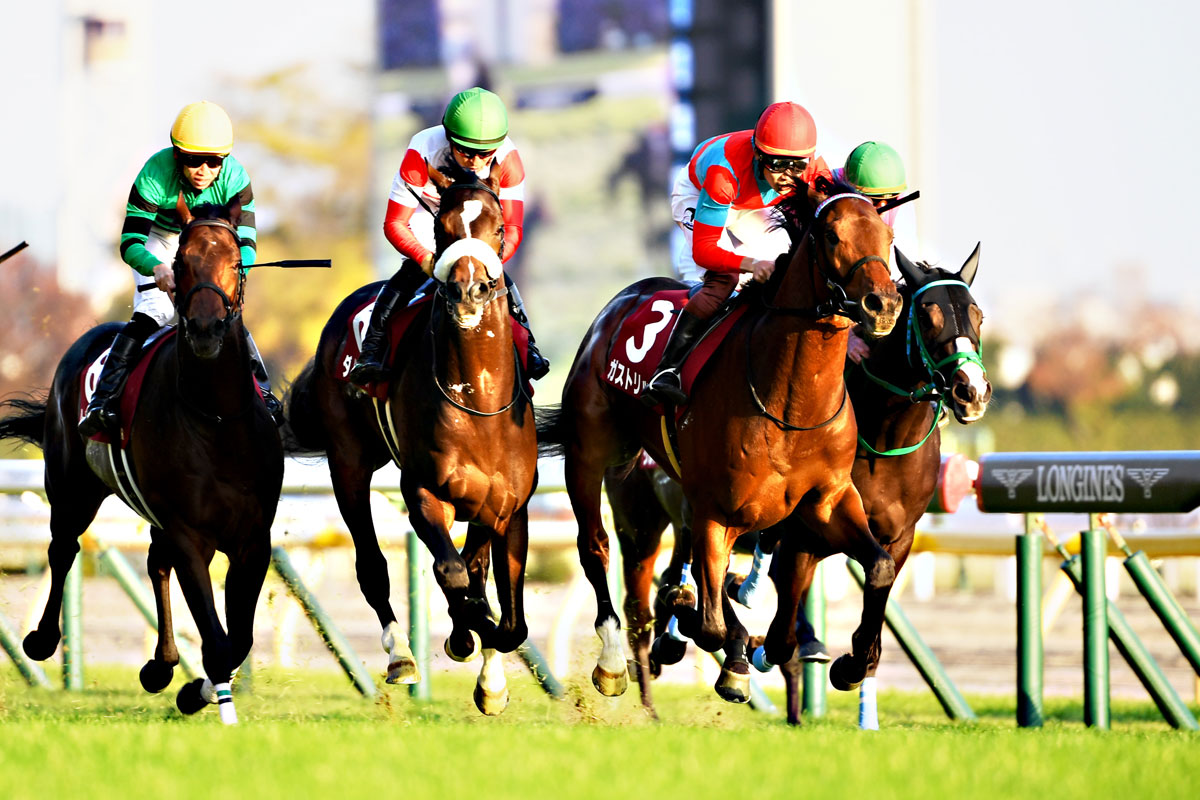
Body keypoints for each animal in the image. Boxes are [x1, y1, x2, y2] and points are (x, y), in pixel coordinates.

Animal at [0, 197, 283, 723]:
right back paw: (43, 639)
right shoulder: (192, 534)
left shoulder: (253, 539)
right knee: (63, 548)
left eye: (235, 259)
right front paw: (207, 699)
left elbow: (240, 639)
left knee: (154, 563)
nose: (206, 330)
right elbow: (217, 640)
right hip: (71, 486)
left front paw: (192, 689)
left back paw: (161, 665)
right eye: (181, 263)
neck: (216, 418)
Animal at [285, 167, 537, 715]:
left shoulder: (508, 505)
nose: (469, 292)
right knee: (371, 564)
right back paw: (401, 655)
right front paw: (464, 634)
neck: (478, 401)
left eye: (499, 228)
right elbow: (453, 573)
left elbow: (502, 608)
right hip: (349, 462)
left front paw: (489, 674)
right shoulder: (422, 490)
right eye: (442, 229)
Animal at [537, 181, 905, 703]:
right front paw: (713, 643)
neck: (792, 405)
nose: (883, 305)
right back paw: (613, 661)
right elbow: (707, 620)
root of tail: (619, 303)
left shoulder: (827, 500)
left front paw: (852, 663)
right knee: (598, 549)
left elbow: (878, 567)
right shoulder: (717, 508)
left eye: (887, 238)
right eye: (832, 236)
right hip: (592, 459)